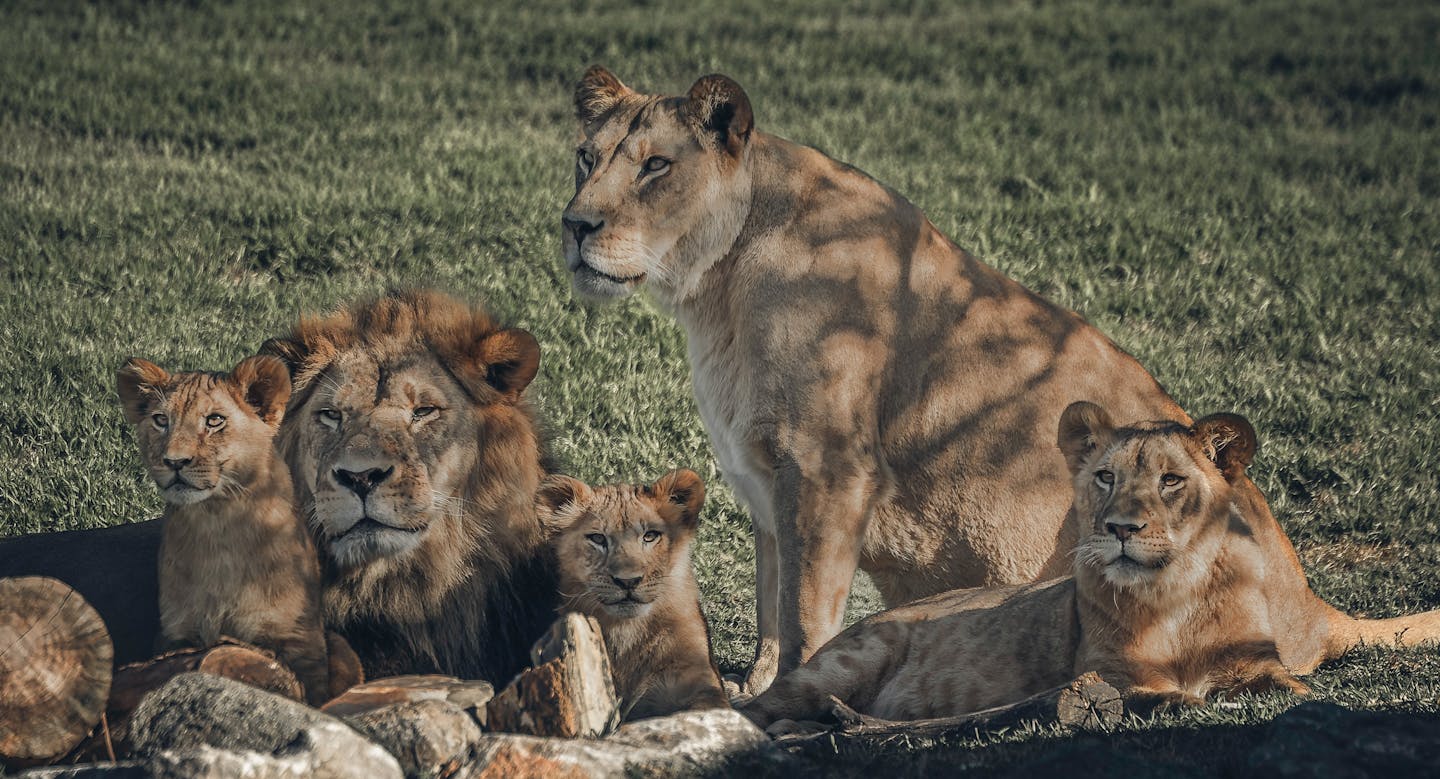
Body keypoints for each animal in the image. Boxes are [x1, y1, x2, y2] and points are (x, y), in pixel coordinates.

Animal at [116, 355, 330, 704]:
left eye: (214, 420)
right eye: (161, 420)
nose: (174, 461)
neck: (218, 522)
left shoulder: (301, 638)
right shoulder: (176, 631)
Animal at [562, 66, 1190, 691]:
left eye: (656, 165)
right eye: (586, 157)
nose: (574, 225)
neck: (719, 291)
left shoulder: (827, 470)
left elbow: (803, 611)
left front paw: (792, 694)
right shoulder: (764, 474)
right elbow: (771, 599)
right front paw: (754, 686)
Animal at [741, 402, 1440, 724]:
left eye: (1170, 481)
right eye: (1105, 476)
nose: (1120, 529)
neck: (1175, 598)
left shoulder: (1258, 663)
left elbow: (1295, 690)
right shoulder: (1106, 672)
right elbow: (1159, 696)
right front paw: (1186, 699)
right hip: (846, 660)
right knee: (762, 705)